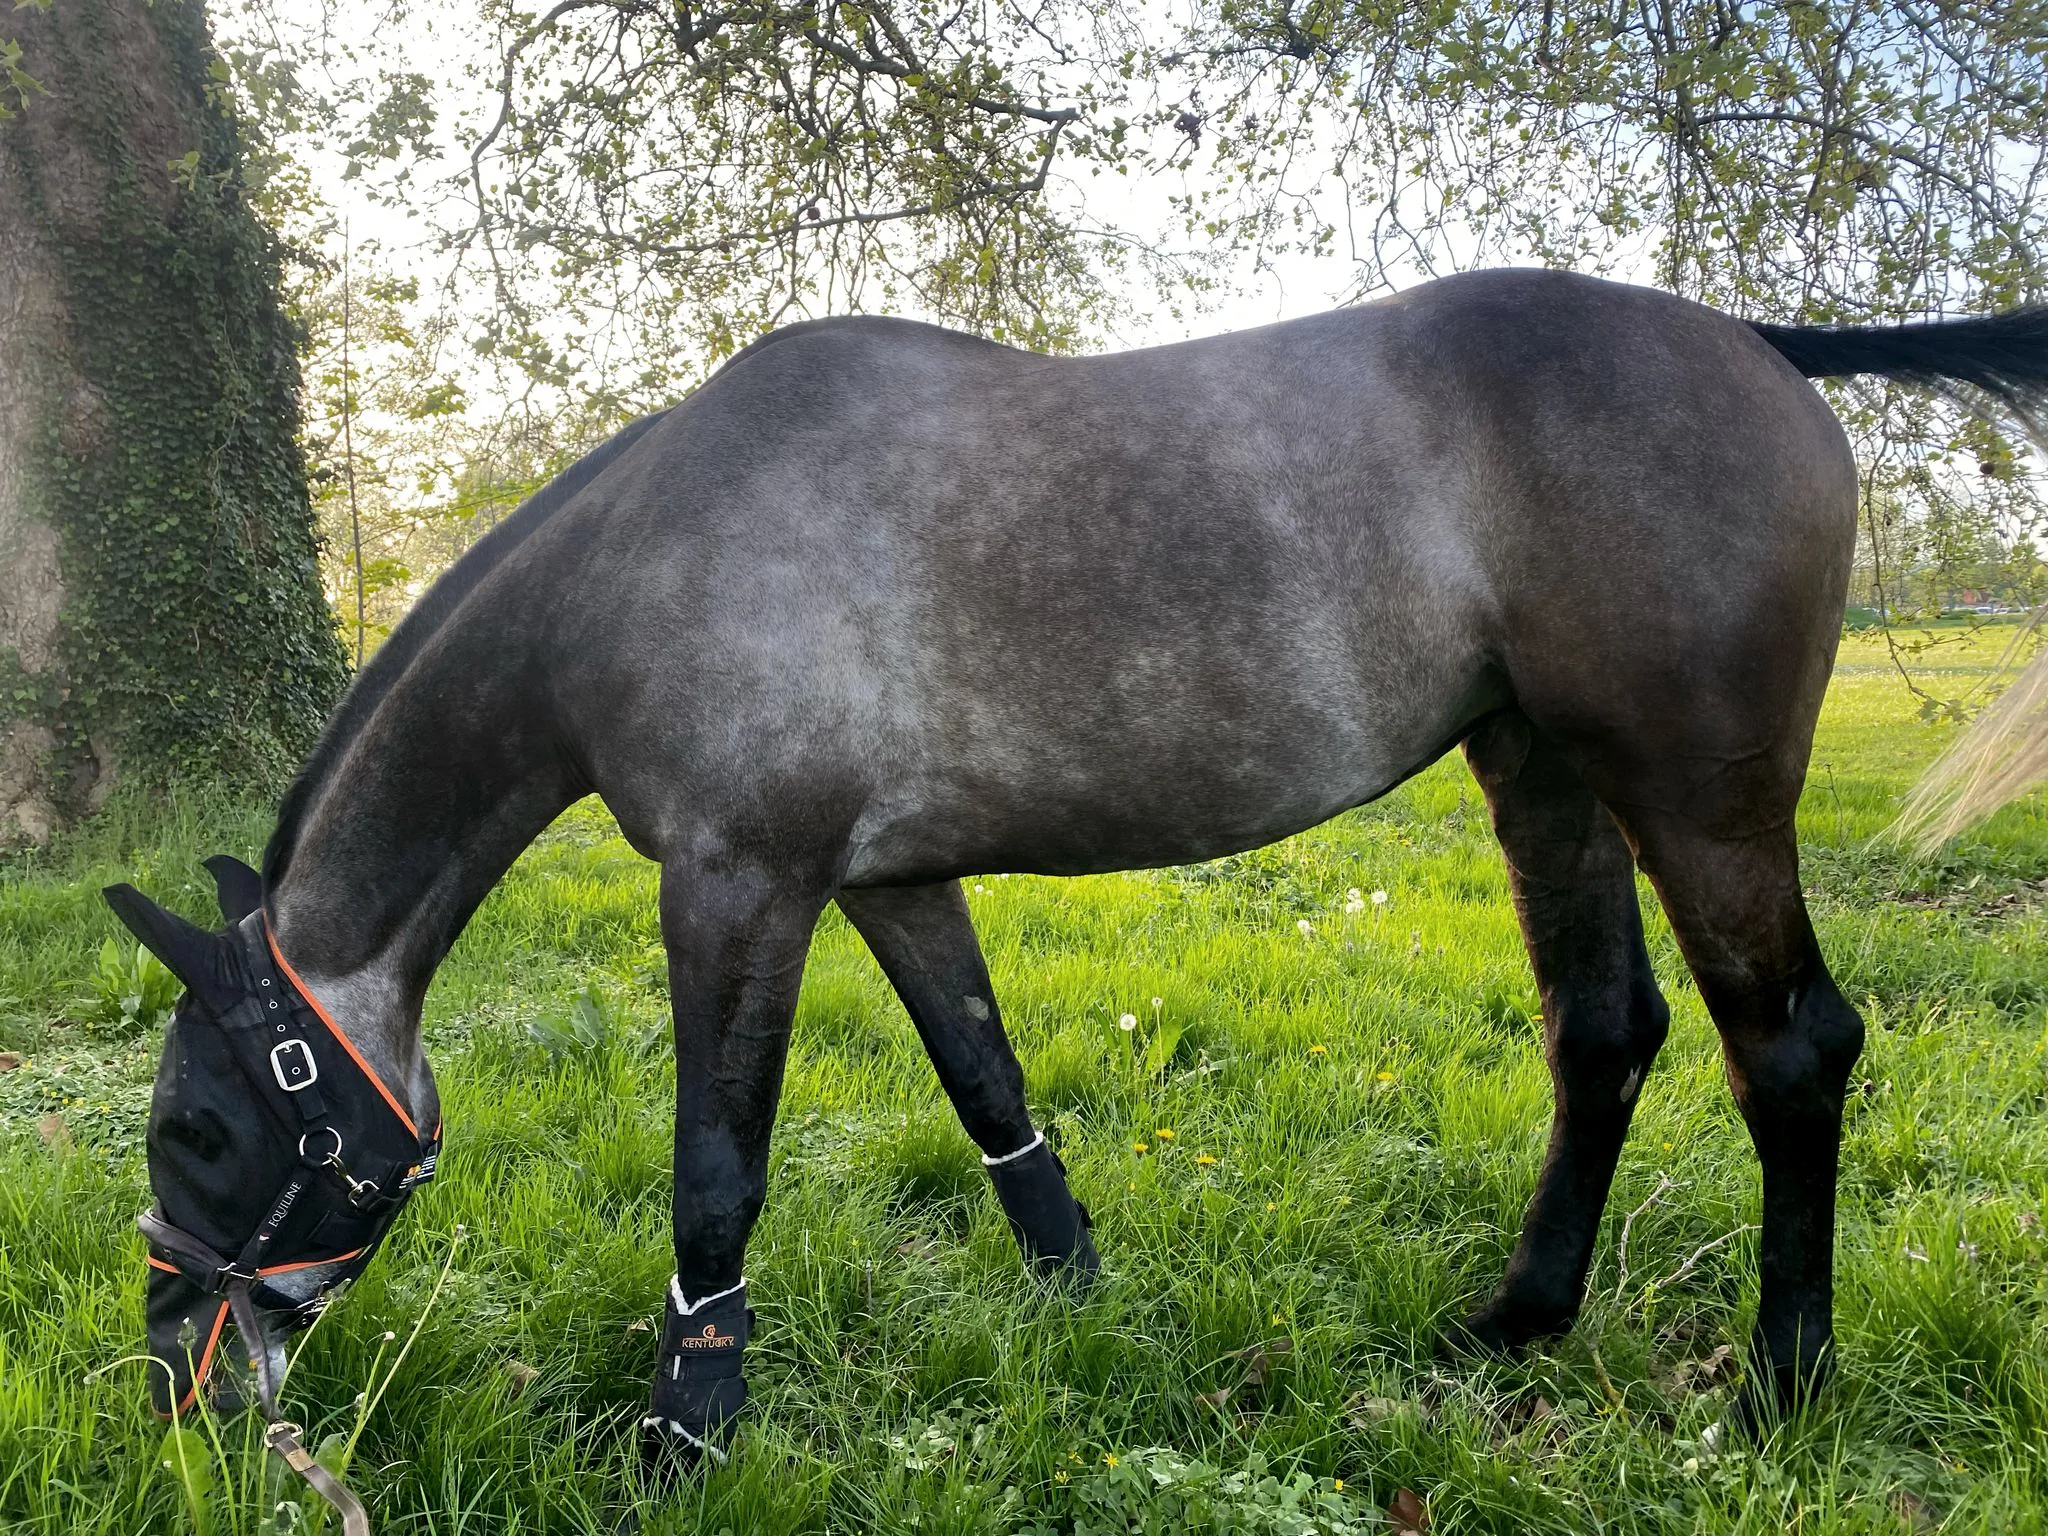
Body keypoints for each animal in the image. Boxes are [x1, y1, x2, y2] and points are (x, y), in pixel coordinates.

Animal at [106, 268, 2048, 1470]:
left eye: (199, 1131)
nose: (179, 1383)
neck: (652, 556)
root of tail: (1760, 343)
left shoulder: (741, 887)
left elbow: (713, 1180)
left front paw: (686, 1431)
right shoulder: (885, 883)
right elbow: (988, 1086)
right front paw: (1078, 1307)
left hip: (1694, 797)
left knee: (1787, 1049)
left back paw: (1782, 1387)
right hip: (1544, 773)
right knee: (1603, 1033)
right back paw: (1520, 1317)